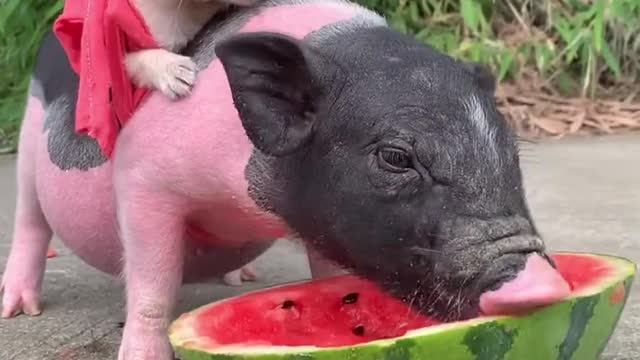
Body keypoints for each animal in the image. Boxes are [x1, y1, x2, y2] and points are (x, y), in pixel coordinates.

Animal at [0, 0, 568, 360]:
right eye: (396, 158)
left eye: (511, 150)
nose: (540, 282)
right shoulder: (144, 177)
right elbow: (153, 284)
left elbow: (329, 276)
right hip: (28, 142)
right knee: (29, 221)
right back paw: (19, 309)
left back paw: (241, 277)